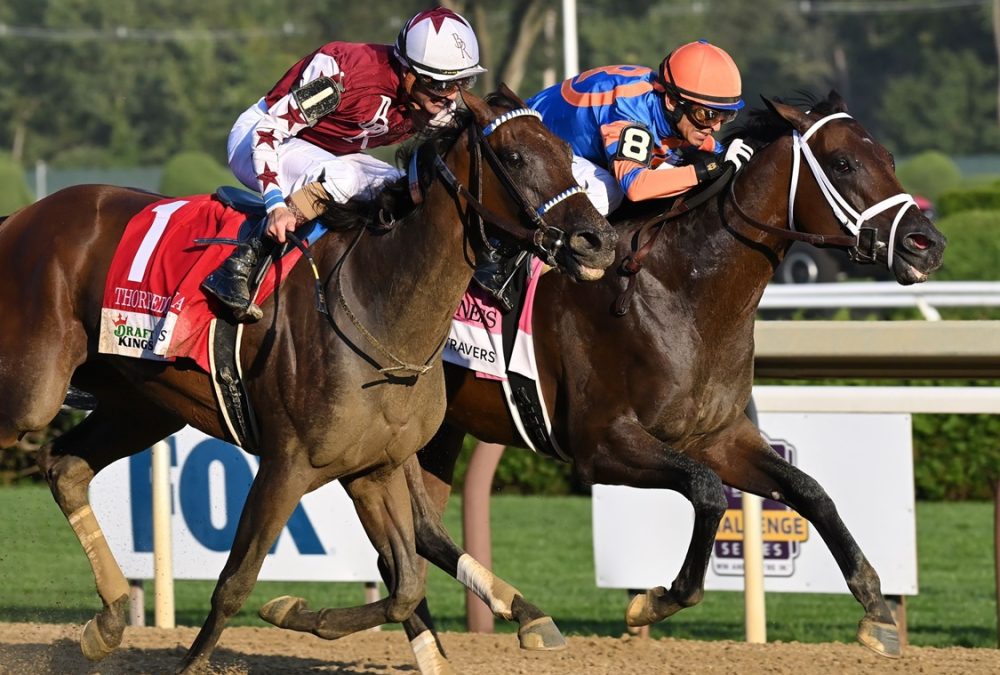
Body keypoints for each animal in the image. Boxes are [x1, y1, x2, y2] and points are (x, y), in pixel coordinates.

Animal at [0, 91, 616, 675]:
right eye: (513, 156)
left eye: (567, 154)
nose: (598, 242)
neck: (378, 303)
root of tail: (19, 218)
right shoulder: (287, 464)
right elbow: (235, 583)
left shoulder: (375, 467)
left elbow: (404, 582)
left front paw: (293, 610)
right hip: (32, 395)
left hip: (142, 406)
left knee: (66, 467)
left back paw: (107, 622)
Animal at [352, 91, 944, 672]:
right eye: (843, 163)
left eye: (889, 158)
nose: (927, 243)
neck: (682, 292)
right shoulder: (601, 445)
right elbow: (707, 492)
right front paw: (654, 601)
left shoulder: (719, 437)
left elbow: (811, 491)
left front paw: (876, 611)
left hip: (438, 432)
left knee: (413, 541)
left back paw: (458, 640)